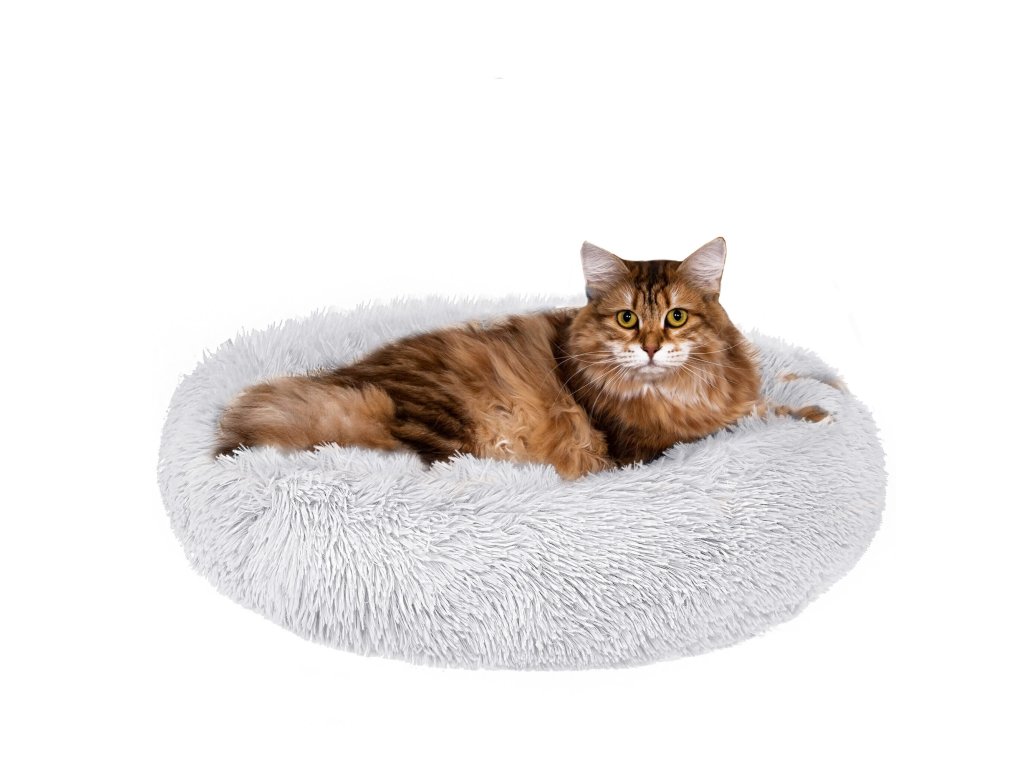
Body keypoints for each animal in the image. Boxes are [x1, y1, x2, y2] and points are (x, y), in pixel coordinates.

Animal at [216, 238, 829, 479]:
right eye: (627, 319)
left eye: (676, 317)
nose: (652, 348)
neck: (674, 391)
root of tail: (348, 379)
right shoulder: (645, 448)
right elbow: (748, 418)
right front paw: (818, 414)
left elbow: (767, 402)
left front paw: (819, 400)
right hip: (447, 428)